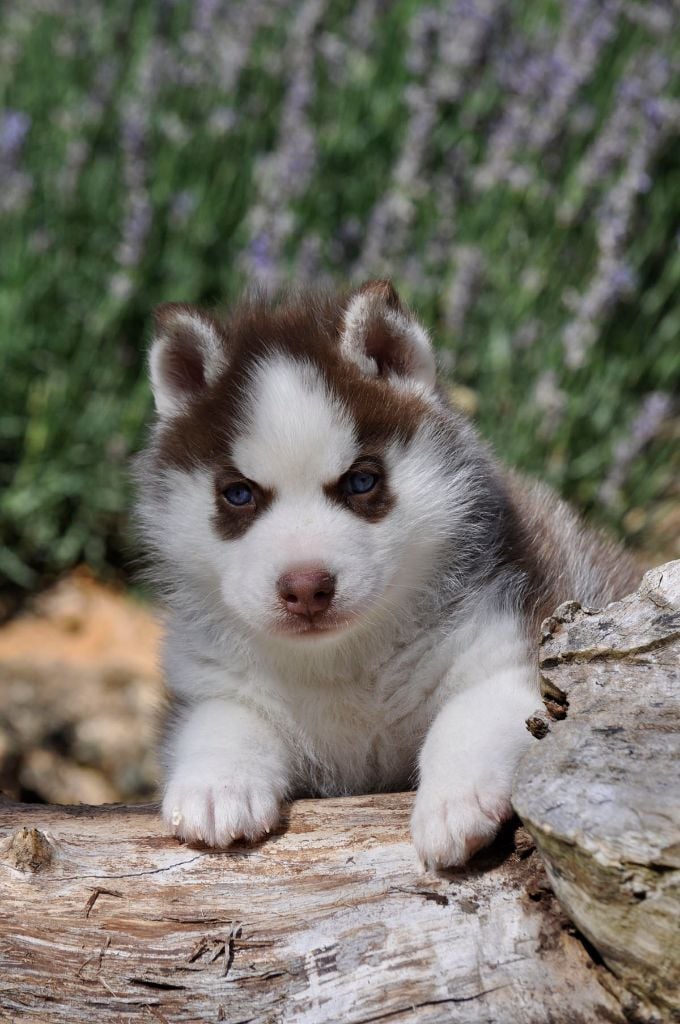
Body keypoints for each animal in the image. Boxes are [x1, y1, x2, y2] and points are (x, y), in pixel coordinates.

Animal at [134, 284, 643, 868]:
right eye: (238, 493)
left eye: (361, 481)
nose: (306, 588)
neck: (344, 665)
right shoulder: (207, 678)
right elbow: (221, 716)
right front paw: (216, 787)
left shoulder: (516, 647)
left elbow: (470, 713)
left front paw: (453, 802)